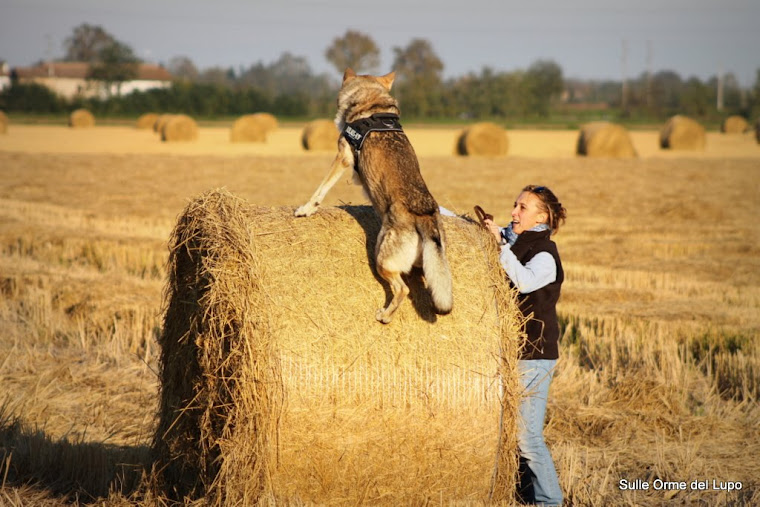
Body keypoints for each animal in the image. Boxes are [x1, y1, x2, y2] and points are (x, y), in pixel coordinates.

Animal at [296, 67, 452, 324]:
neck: (372, 104)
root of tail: (424, 216)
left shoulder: (342, 157)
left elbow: (321, 188)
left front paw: (306, 209)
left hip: (382, 261)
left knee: (402, 289)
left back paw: (384, 316)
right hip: (428, 264)